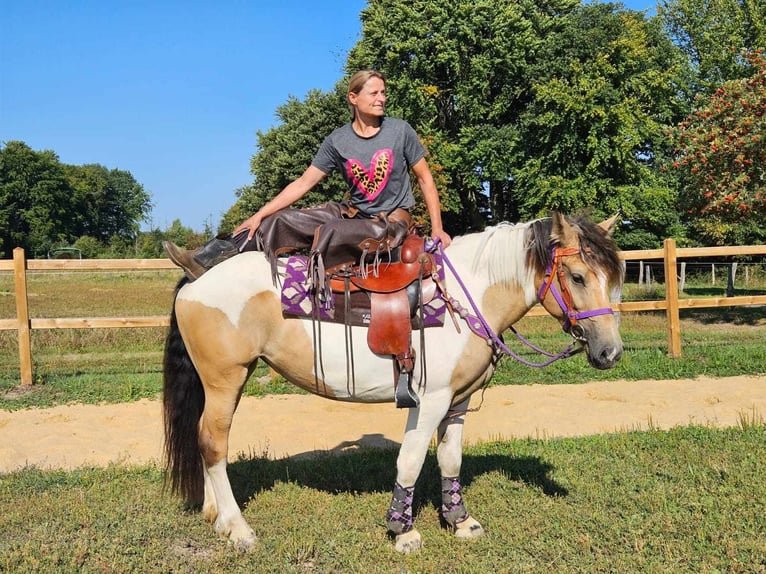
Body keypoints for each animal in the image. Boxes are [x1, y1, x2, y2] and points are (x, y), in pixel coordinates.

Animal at [162, 212, 624, 552]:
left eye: (613, 279)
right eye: (578, 277)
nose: (610, 352)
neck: (468, 295)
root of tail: (196, 278)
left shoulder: (457, 403)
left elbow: (450, 459)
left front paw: (460, 522)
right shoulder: (430, 400)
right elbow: (411, 460)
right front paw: (404, 531)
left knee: (206, 439)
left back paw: (214, 515)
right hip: (226, 379)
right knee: (213, 442)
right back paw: (237, 528)